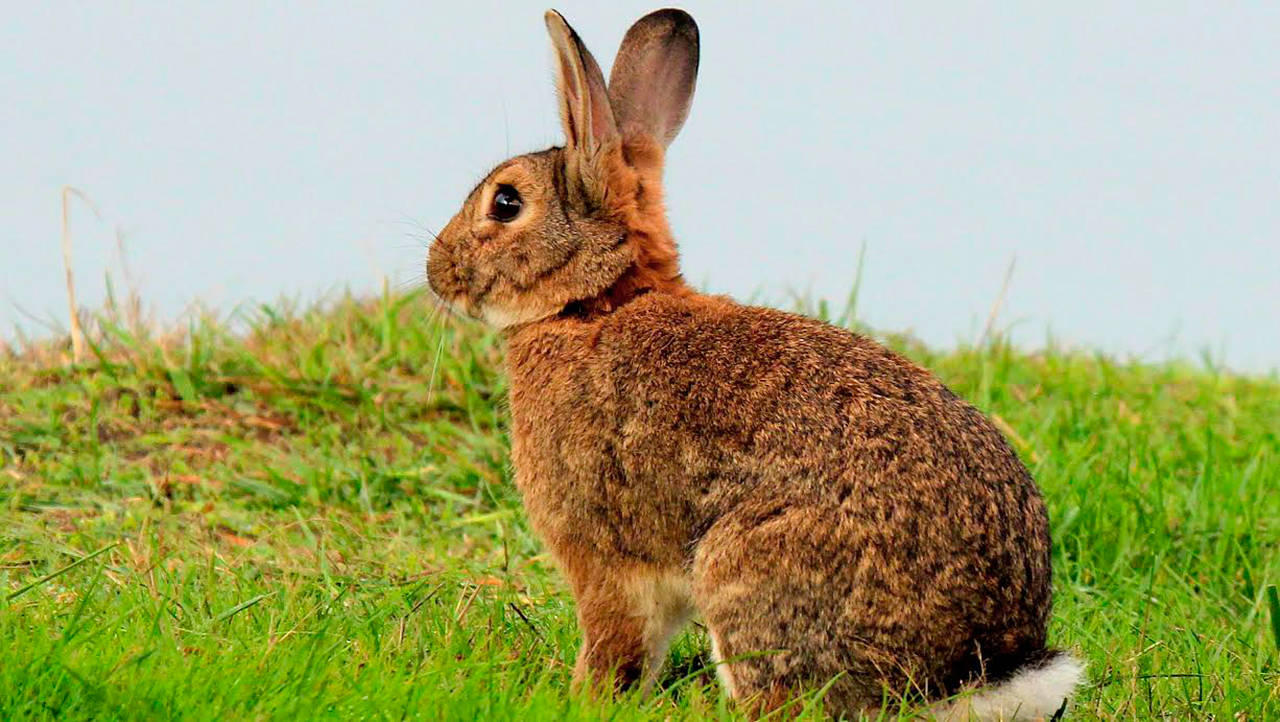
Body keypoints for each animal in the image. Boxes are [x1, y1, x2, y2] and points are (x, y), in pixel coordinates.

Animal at [425, 8, 1083, 720]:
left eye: (506, 203)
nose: (436, 270)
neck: (596, 302)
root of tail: (968, 672)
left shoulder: (604, 560)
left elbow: (615, 644)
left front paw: (582, 697)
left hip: (746, 574)